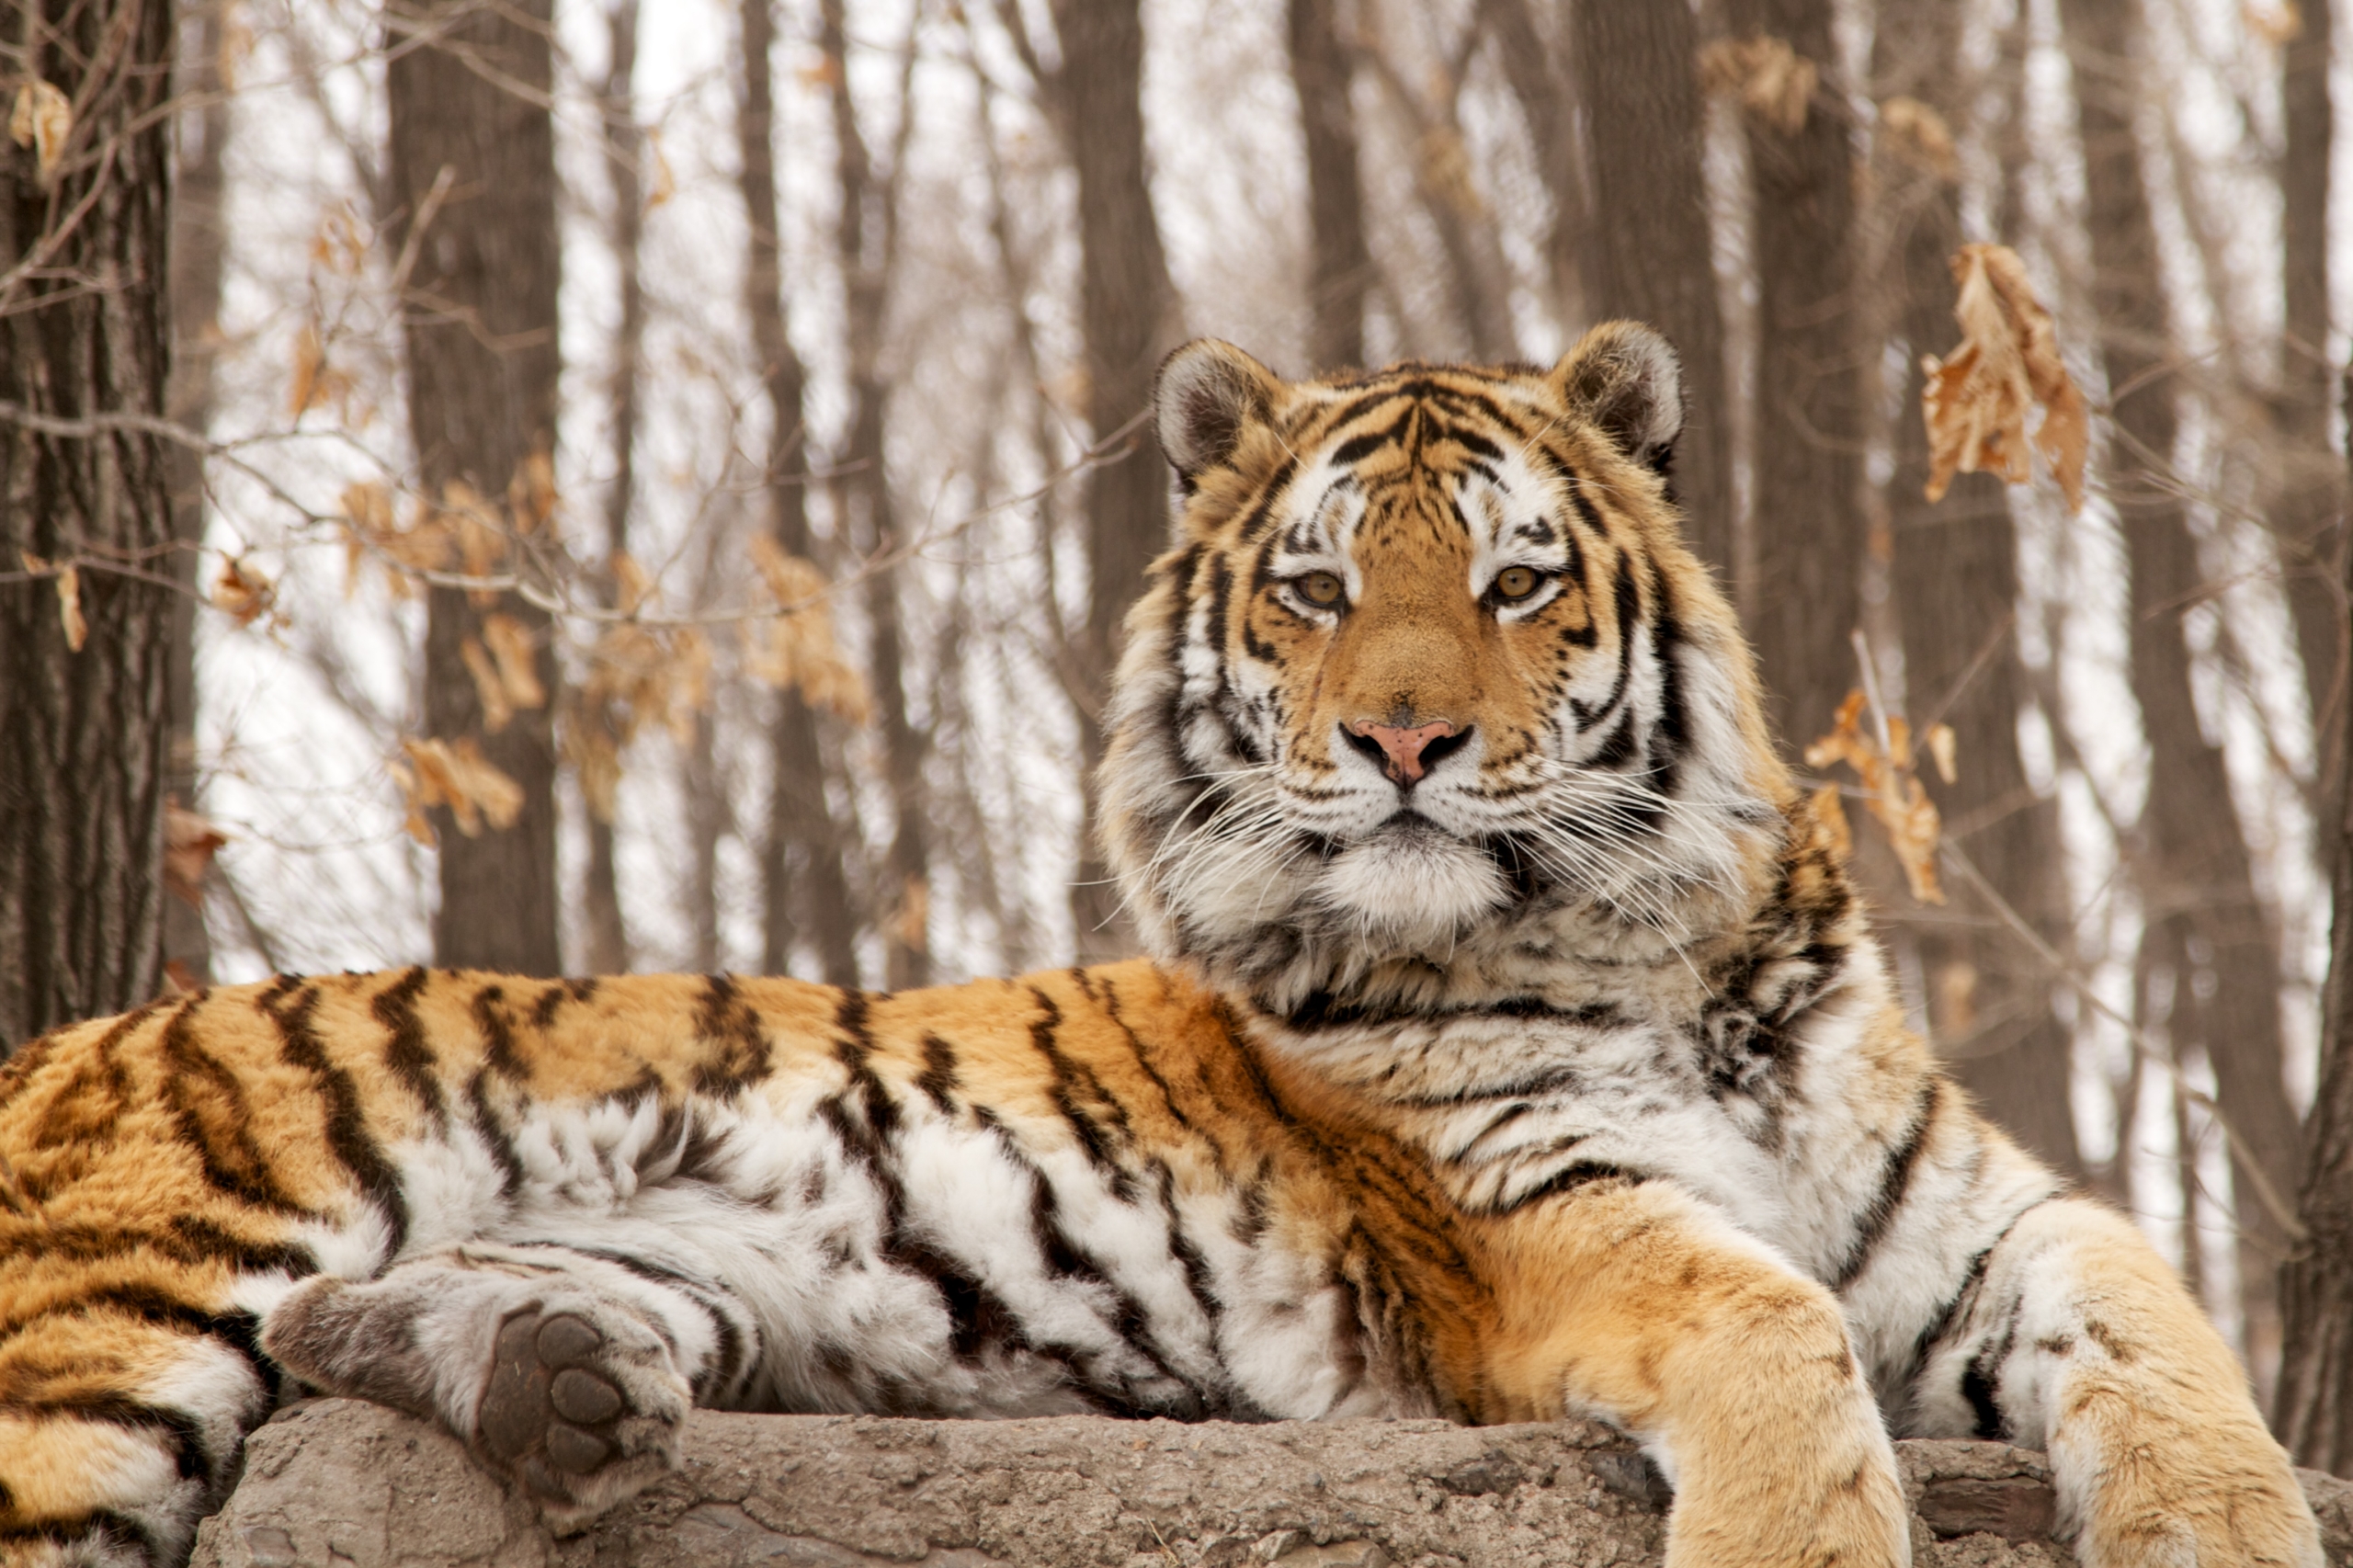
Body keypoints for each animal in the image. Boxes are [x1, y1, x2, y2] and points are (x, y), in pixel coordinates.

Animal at [0, 320, 2315, 1562]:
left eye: (1510, 581)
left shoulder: (1977, 1207)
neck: (1665, 954)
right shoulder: (1543, 1224)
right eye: (1312, 587)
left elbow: (2162, 1326)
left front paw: (2222, 1523)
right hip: (109, 1346)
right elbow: (1780, 1334)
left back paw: (564, 1390)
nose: (1401, 738)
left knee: (392, 1329)